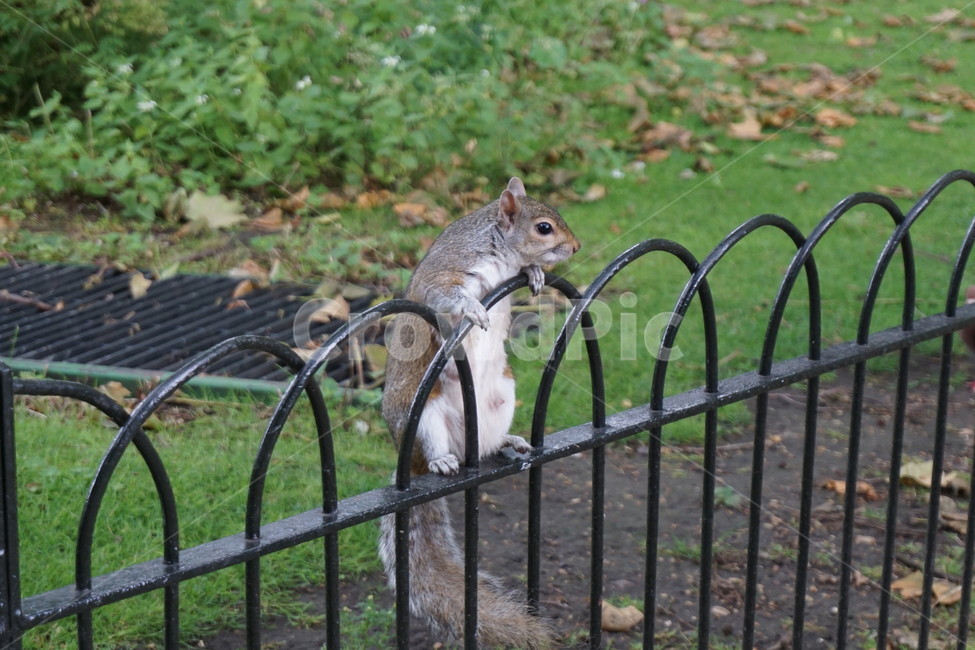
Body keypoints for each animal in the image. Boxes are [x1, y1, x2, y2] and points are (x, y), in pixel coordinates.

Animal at [379, 177, 580, 648]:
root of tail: (412, 463)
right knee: (439, 446)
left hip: (502, 395)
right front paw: (472, 308)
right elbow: (442, 294)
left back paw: (508, 441)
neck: (498, 251)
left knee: (485, 448)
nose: (576, 246)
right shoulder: (448, 269)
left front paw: (535, 274)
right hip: (425, 413)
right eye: (544, 228)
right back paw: (442, 461)